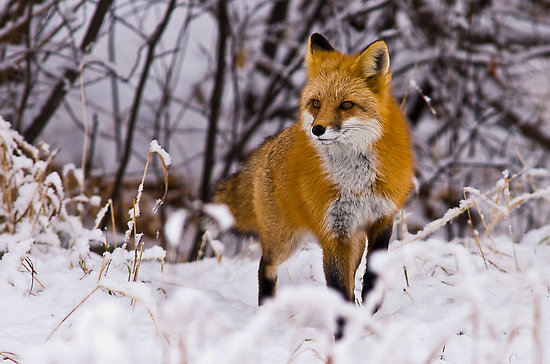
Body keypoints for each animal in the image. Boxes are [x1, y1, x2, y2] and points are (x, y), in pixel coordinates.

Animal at [216, 33, 414, 308]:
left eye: (347, 105)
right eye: (316, 103)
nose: (317, 130)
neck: (356, 181)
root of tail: (271, 142)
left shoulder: (381, 218)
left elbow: (370, 276)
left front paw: (369, 306)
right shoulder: (332, 232)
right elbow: (338, 287)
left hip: (354, 241)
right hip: (285, 239)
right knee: (266, 266)